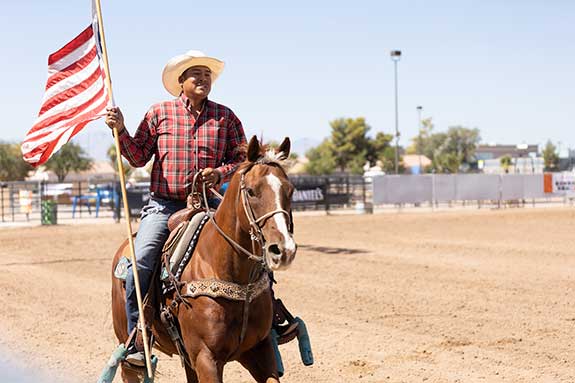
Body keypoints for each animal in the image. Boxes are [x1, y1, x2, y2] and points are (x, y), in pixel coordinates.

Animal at [110, 136, 296, 382]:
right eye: (251, 191)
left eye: (290, 190)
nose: (283, 249)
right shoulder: (206, 358)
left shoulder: (260, 350)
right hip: (127, 348)